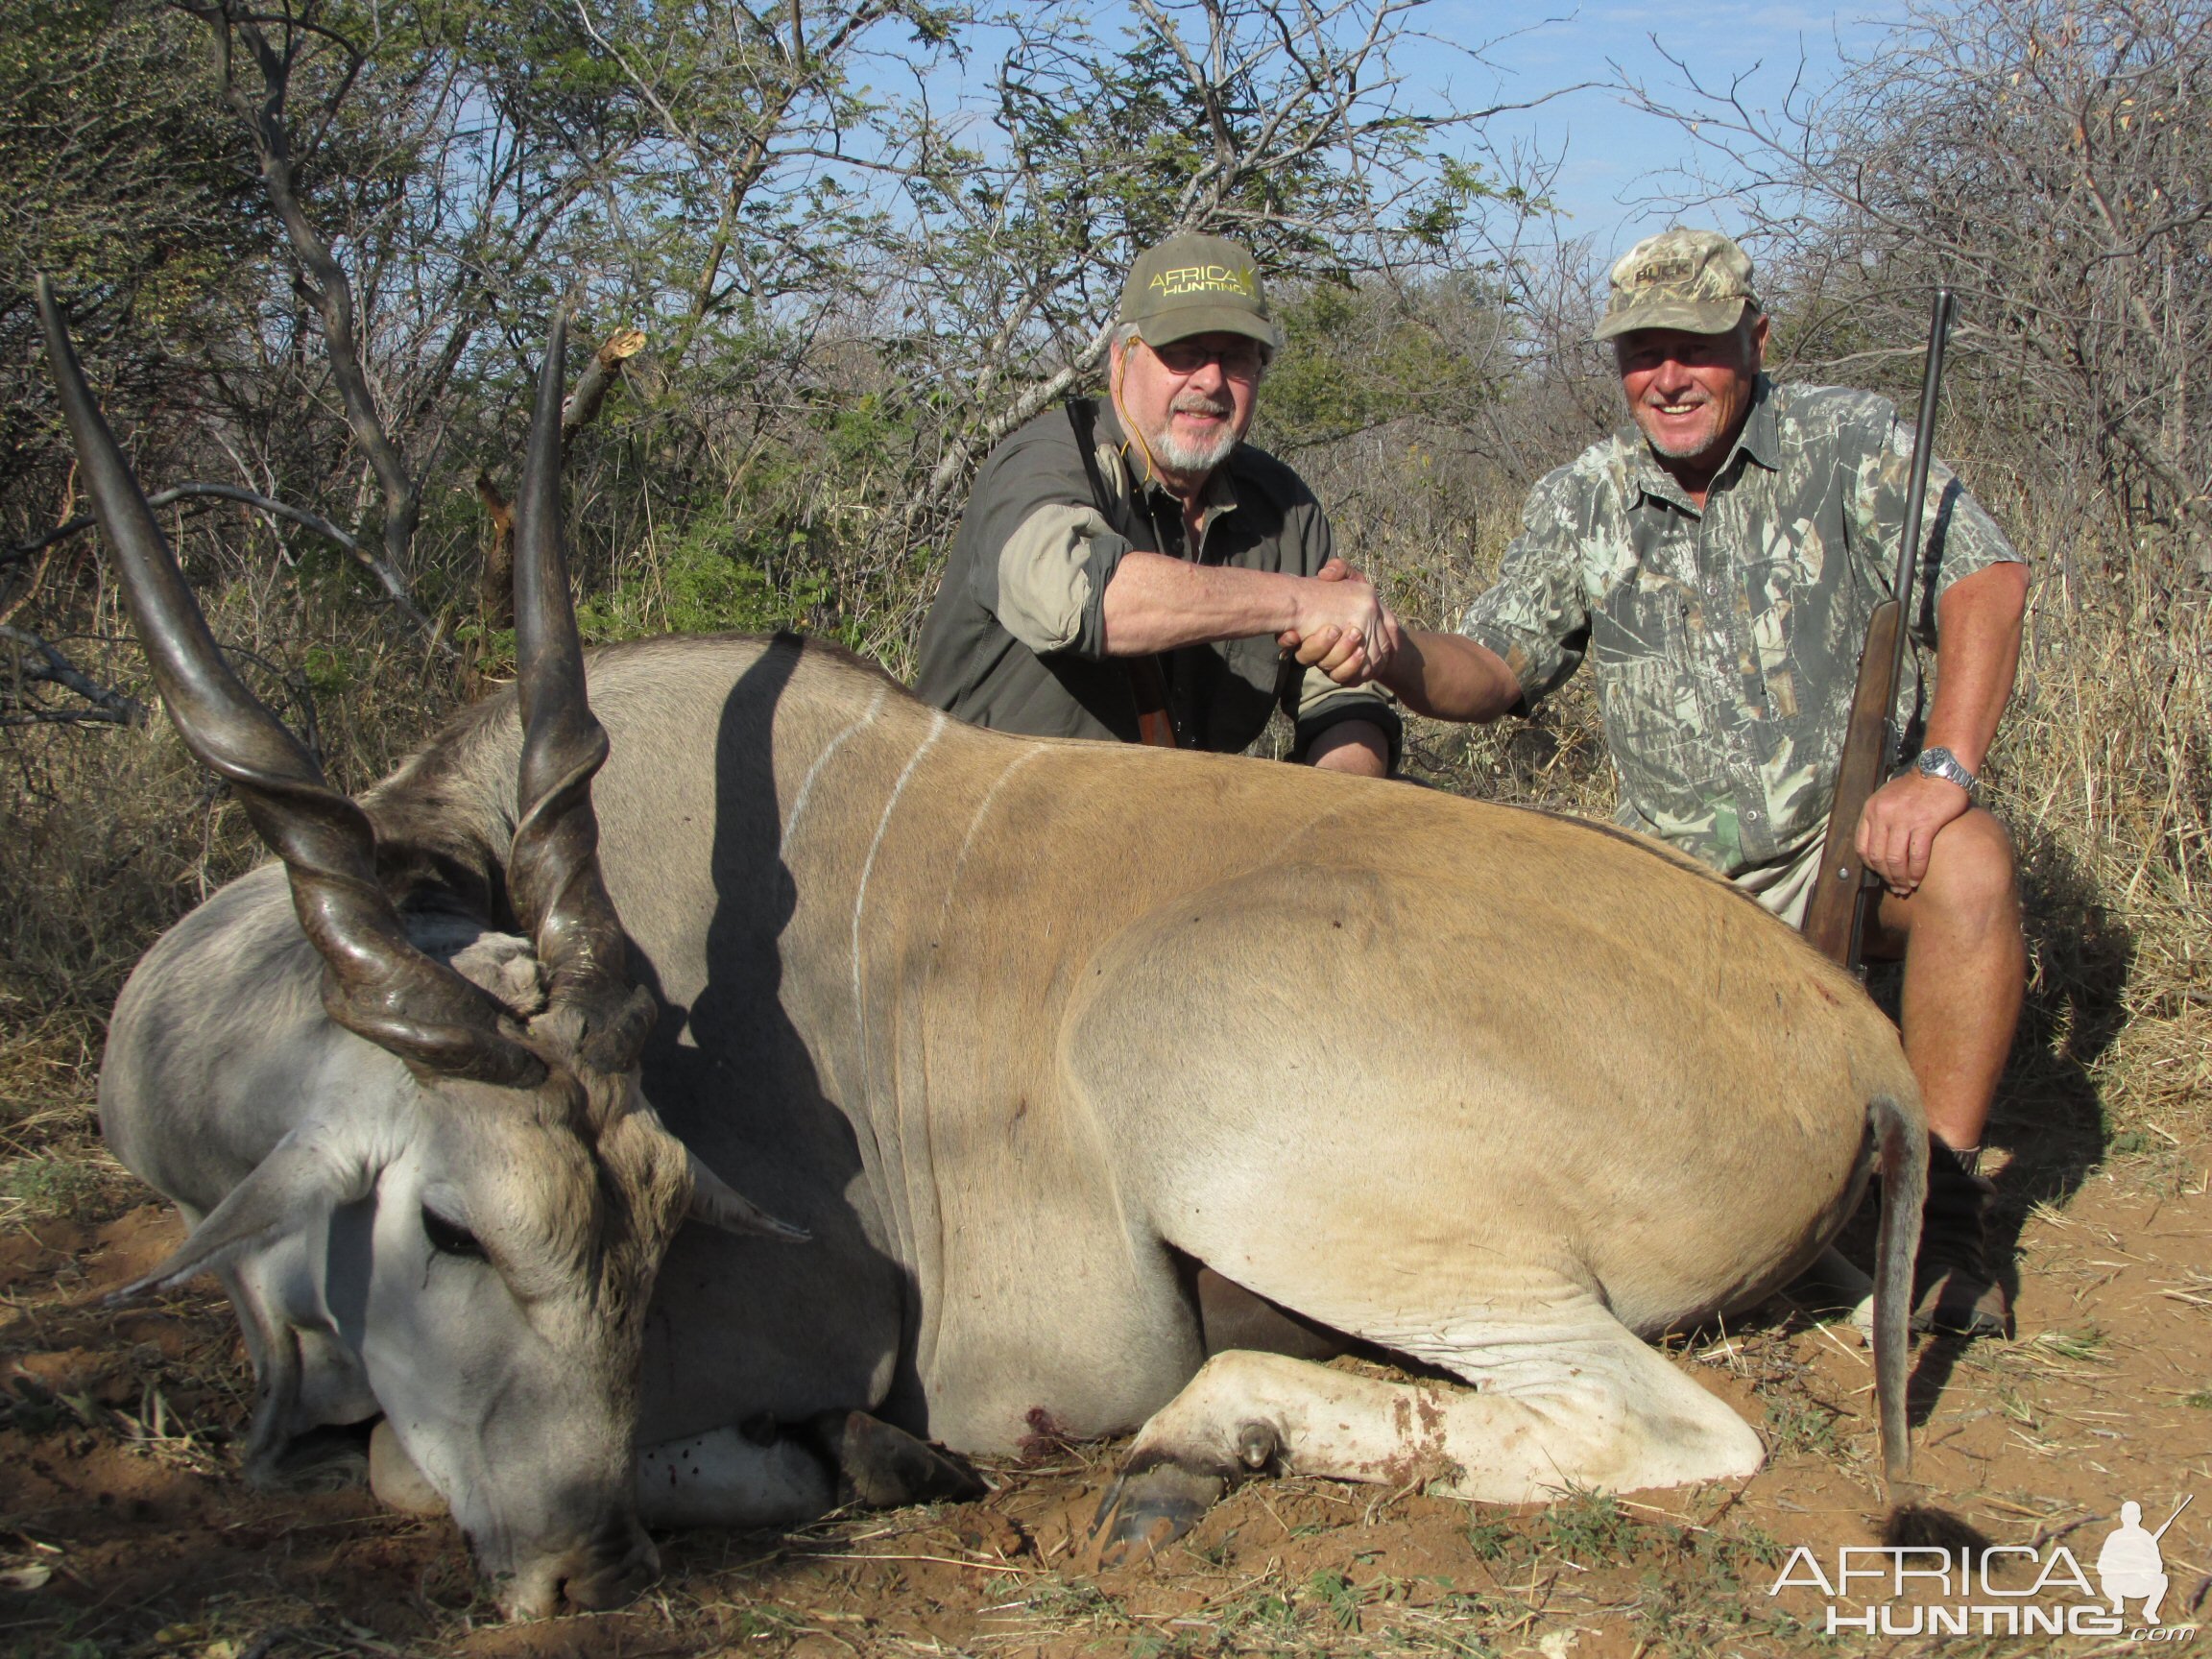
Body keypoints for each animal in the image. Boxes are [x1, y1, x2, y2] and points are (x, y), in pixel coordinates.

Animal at [42, 289, 1929, 1627]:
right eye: (445, 1225)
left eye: (660, 1214)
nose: (585, 1569)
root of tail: (1855, 1042)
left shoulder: (802, 1318)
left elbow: (398, 1468)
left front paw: (858, 1452)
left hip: (1222, 1112)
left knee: (1669, 1428)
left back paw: (1187, 1446)